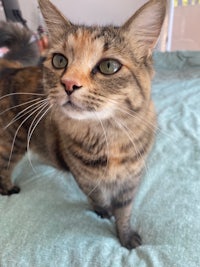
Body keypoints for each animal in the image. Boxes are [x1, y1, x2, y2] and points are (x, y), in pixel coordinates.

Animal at [0, 0, 166, 250]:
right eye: (59, 60)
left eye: (109, 66)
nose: (69, 83)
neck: (105, 136)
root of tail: (10, 66)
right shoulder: (84, 178)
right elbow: (99, 197)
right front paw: (104, 211)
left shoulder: (130, 180)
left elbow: (124, 211)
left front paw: (126, 235)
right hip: (13, 141)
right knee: (3, 168)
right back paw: (8, 188)